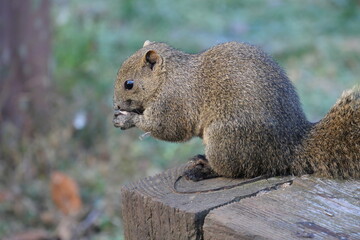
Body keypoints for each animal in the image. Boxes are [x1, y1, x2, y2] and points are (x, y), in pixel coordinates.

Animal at [112, 40, 360, 180]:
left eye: (129, 84)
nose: (116, 105)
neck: (168, 77)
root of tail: (288, 149)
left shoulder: (174, 101)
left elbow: (169, 128)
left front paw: (128, 120)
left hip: (226, 140)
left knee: (235, 170)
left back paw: (205, 169)